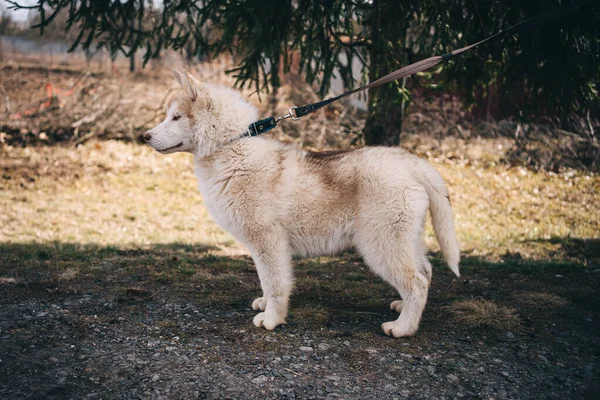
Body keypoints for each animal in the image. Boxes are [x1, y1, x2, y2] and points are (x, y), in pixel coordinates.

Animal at [144, 70, 460, 336]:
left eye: (176, 117)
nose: (144, 136)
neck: (232, 148)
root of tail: (411, 162)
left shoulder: (268, 240)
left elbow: (275, 282)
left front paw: (272, 319)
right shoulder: (264, 246)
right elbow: (266, 280)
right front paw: (265, 305)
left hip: (381, 243)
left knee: (416, 282)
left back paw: (403, 328)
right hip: (406, 239)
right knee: (425, 272)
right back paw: (403, 308)